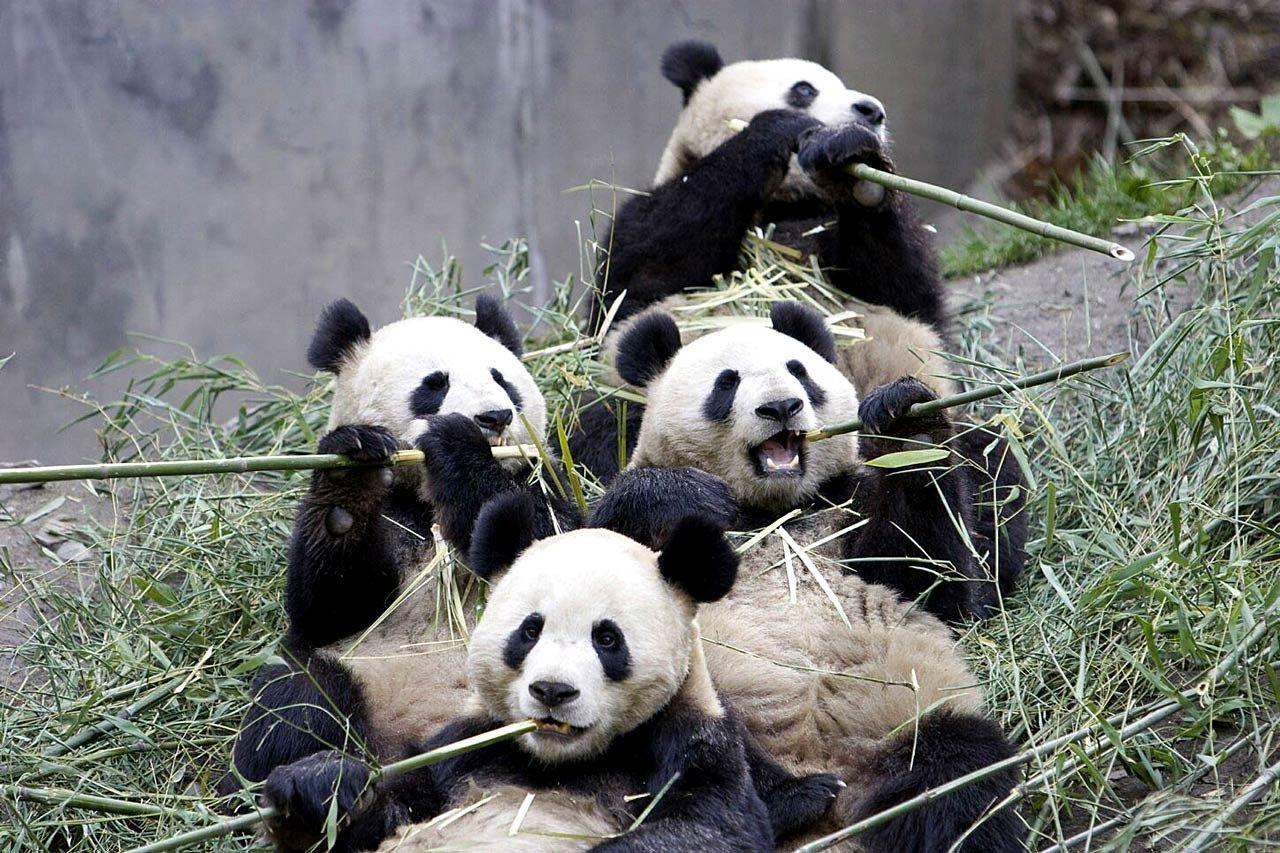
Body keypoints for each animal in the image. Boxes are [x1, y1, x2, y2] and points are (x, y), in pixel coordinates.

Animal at [226, 295, 579, 796]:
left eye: (502, 380)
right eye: (433, 384)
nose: (494, 417)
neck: (427, 497)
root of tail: (404, 742)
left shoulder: (545, 476)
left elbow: (557, 543)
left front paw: (457, 445)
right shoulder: (394, 519)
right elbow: (330, 606)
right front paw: (351, 477)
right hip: (354, 670)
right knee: (296, 700)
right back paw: (313, 779)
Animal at [257, 495, 837, 852]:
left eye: (607, 639)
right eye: (530, 630)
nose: (552, 691)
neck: (557, 760)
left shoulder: (688, 739)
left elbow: (708, 827)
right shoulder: (466, 745)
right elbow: (387, 811)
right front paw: (319, 787)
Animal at [571, 40, 959, 483]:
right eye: (804, 89)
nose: (871, 111)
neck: (784, 205)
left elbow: (907, 292)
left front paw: (857, 167)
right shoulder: (641, 236)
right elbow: (645, 265)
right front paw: (779, 130)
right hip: (627, 397)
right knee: (605, 424)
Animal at [599, 301, 1027, 850]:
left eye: (799, 370)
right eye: (727, 383)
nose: (781, 407)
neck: (777, 513)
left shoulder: (846, 507)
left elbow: (929, 579)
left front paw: (903, 425)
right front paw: (685, 497)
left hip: (903, 722)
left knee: (959, 773)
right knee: (692, 735)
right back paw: (787, 798)